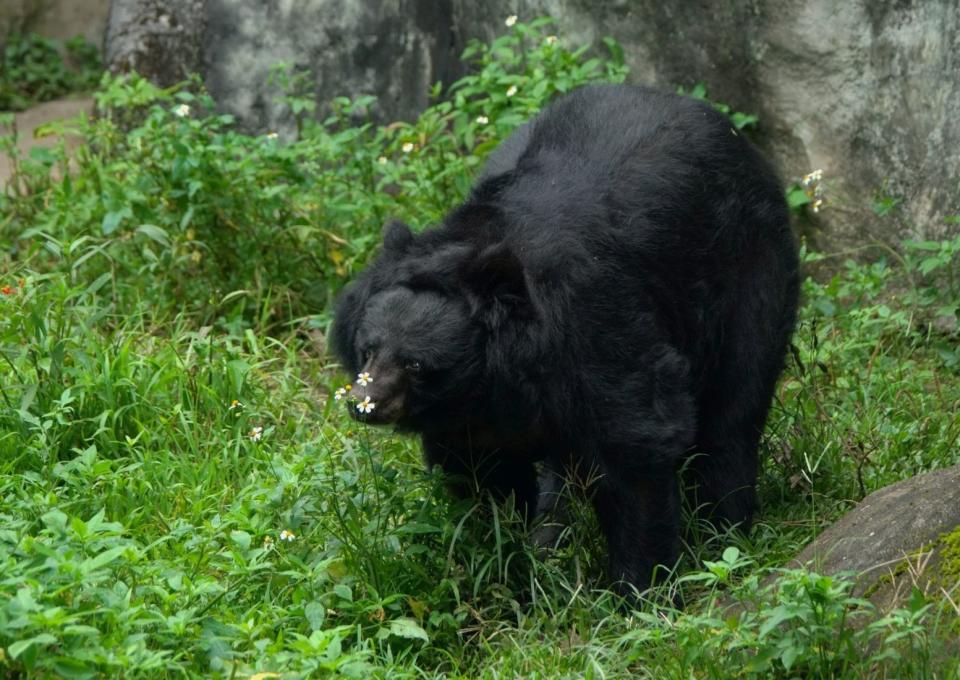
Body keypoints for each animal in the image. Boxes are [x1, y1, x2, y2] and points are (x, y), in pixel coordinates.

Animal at [334, 83, 800, 596]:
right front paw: (505, 569)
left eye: (415, 364)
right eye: (368, 350)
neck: (493, 376)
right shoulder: (471, 421)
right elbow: (485, 483)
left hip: (748, 274)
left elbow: (636, 441)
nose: (363, 403)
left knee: (733, 410)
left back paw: (725, 536)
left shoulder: (593, 325)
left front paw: (639, 591)